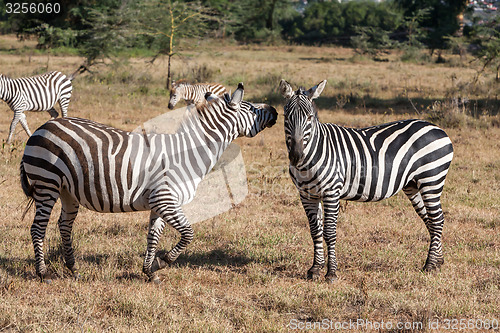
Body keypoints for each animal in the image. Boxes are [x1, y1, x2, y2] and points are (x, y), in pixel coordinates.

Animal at [20, 81, 278, 282]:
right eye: (252, 108)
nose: (275, 111)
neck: (187, 153)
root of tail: (42, 127)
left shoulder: (160, 203)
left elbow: (153, 236)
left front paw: (150, 271)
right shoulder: (166, 199)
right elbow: (188, 234)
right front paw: (163, 262)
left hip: (68, 190)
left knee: (64, 225)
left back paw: (73, 269)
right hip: (47, 182)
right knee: (38, 227)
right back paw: (43, 273)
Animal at [280, 79, 456, 282]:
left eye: (309, 117)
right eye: (286, 117)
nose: (296, 156)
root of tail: (437, 128)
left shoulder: (332, 192)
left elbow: (329, 232)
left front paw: (331, 272)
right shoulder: (307, 195)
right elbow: (315, 231)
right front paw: (315, 269)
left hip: (432, 179)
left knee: (437, 219)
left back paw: (430, 265)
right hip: (412, 185)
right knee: (430, 219)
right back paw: (438, 261)